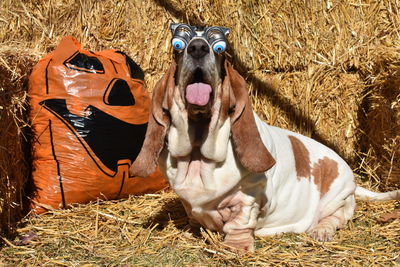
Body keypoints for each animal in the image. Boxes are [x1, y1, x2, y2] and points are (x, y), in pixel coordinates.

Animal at [130, 24, 398, 252]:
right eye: (178, 45)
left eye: (220, 48)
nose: (197, 48)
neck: (198, 153)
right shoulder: (189, 202)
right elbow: (193, 215)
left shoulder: (249, 198)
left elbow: (239, 223)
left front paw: (236, 248)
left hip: (339, 195)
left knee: (336, 217)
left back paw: (321, 230)